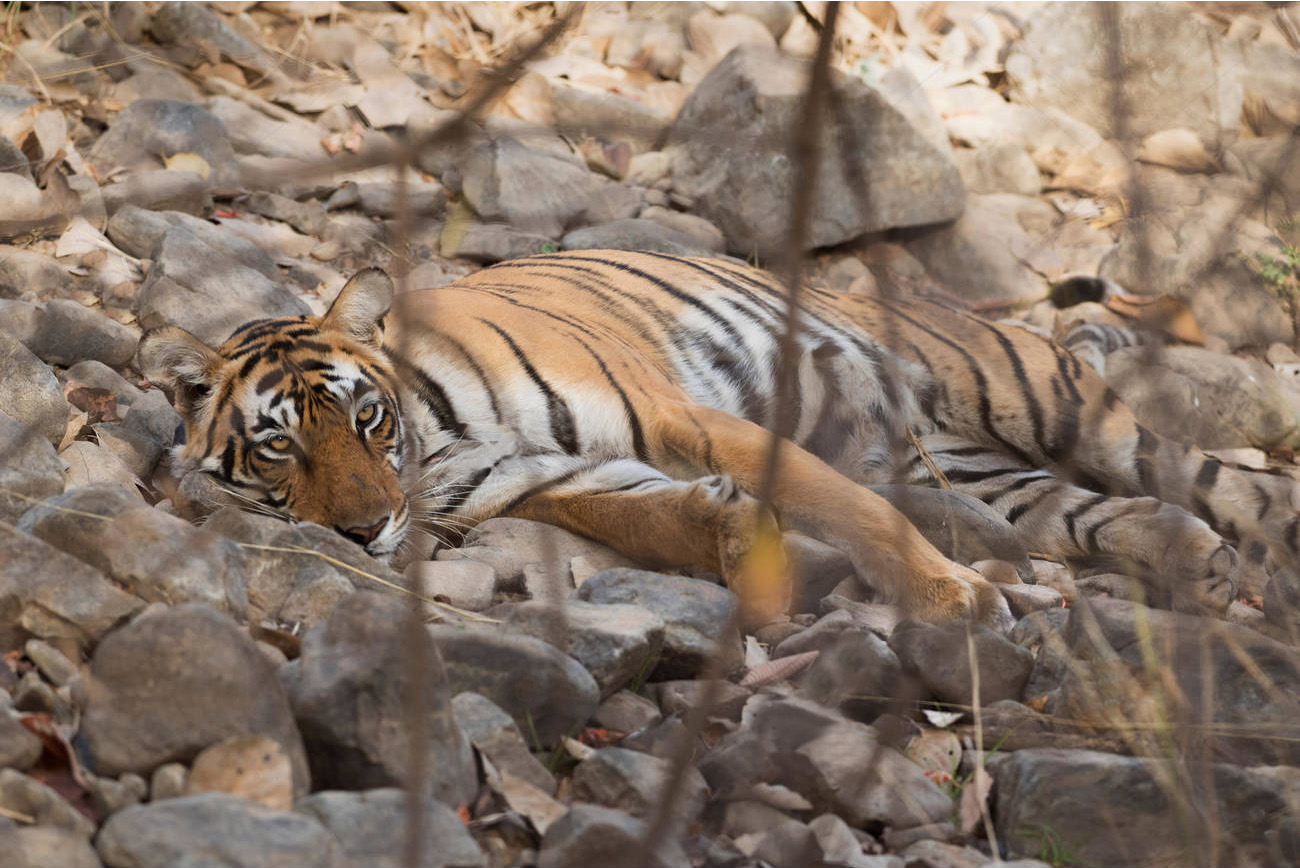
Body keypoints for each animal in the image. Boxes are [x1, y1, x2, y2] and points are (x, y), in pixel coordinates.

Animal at [137, 250, 1294, 631]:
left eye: (362, 418)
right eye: (279, 449)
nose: (366, 532)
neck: (439, 435)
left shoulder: (682, 417)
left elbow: (846, 505)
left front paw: (948, 598)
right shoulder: (545, 476)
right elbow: (648, 521)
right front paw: (736, 542)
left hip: (1043, 394)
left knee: (1212, 479)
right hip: (986, 473)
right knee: (1086, 509)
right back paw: (1189, 559)